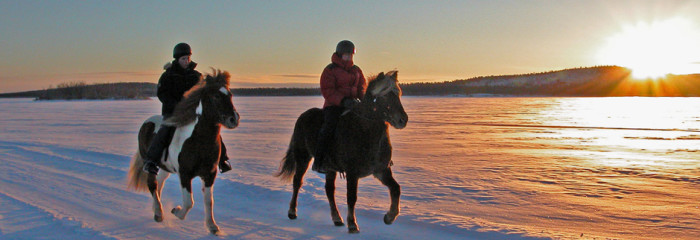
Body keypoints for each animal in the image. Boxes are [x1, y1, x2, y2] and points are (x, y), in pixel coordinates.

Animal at [129, 69, 241, 234]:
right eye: (215, 96)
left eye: (230, 94)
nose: (234, 119)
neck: (199, 141)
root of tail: (146, 123)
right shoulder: (184, 174)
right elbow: (189, 202)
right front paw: (176, 211)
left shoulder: (209, 174)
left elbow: (209, 201)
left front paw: (212, 226)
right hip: (149, 162)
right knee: (152, 184)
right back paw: (159, 213)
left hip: (165, 168)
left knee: (159, 184)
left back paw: (157, 209)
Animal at [276, 70, 408, 233]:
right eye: (383, 96)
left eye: (398, 93)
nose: (403, 120)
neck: (365, 131)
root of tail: (303, 116)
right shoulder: (352, 172)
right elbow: (351, 197)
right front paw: (352, 224)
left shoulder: (381, 170)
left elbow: (396, 189)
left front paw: (389, 217)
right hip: (303, 157)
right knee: (297, 182)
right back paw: (292, 212)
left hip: (330, 168)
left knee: (329, 190)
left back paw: (337, 219)